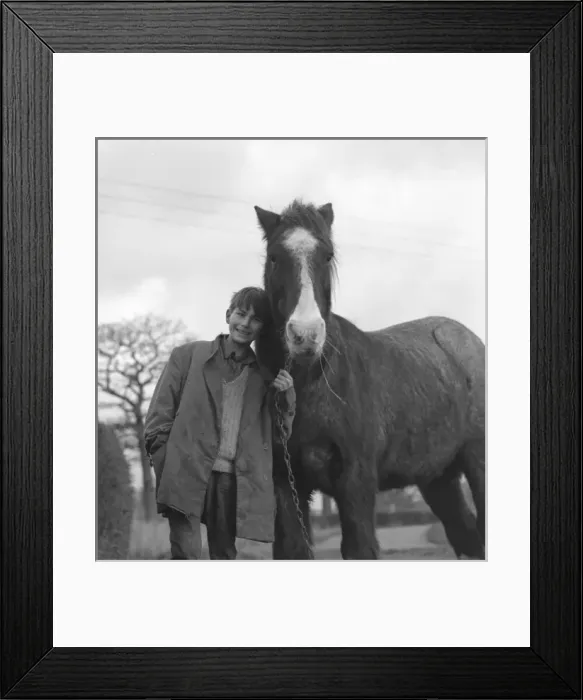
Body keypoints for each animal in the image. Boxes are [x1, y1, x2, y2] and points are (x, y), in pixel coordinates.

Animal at [253, 198, 485, 560]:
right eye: (274, 257)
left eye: (328, 255)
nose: (305, 335)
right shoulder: (286, 484)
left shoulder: (356, 483)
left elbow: (360, 547)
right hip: (439, 479)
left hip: (478, 462)